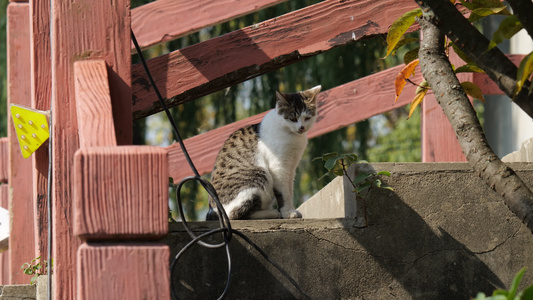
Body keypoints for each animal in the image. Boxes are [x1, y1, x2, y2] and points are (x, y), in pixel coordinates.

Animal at [205, 85, 320, 220]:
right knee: (236, 214)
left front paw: (290, 209)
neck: (292, 135)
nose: (301, 127)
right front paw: (287, 212)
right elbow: (284, 194)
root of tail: (213, 209)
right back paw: (272, 213)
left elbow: (289, 191)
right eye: (293, 119)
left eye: (307, 118)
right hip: (260, 174)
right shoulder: (278, 167)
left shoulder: (291, 168)